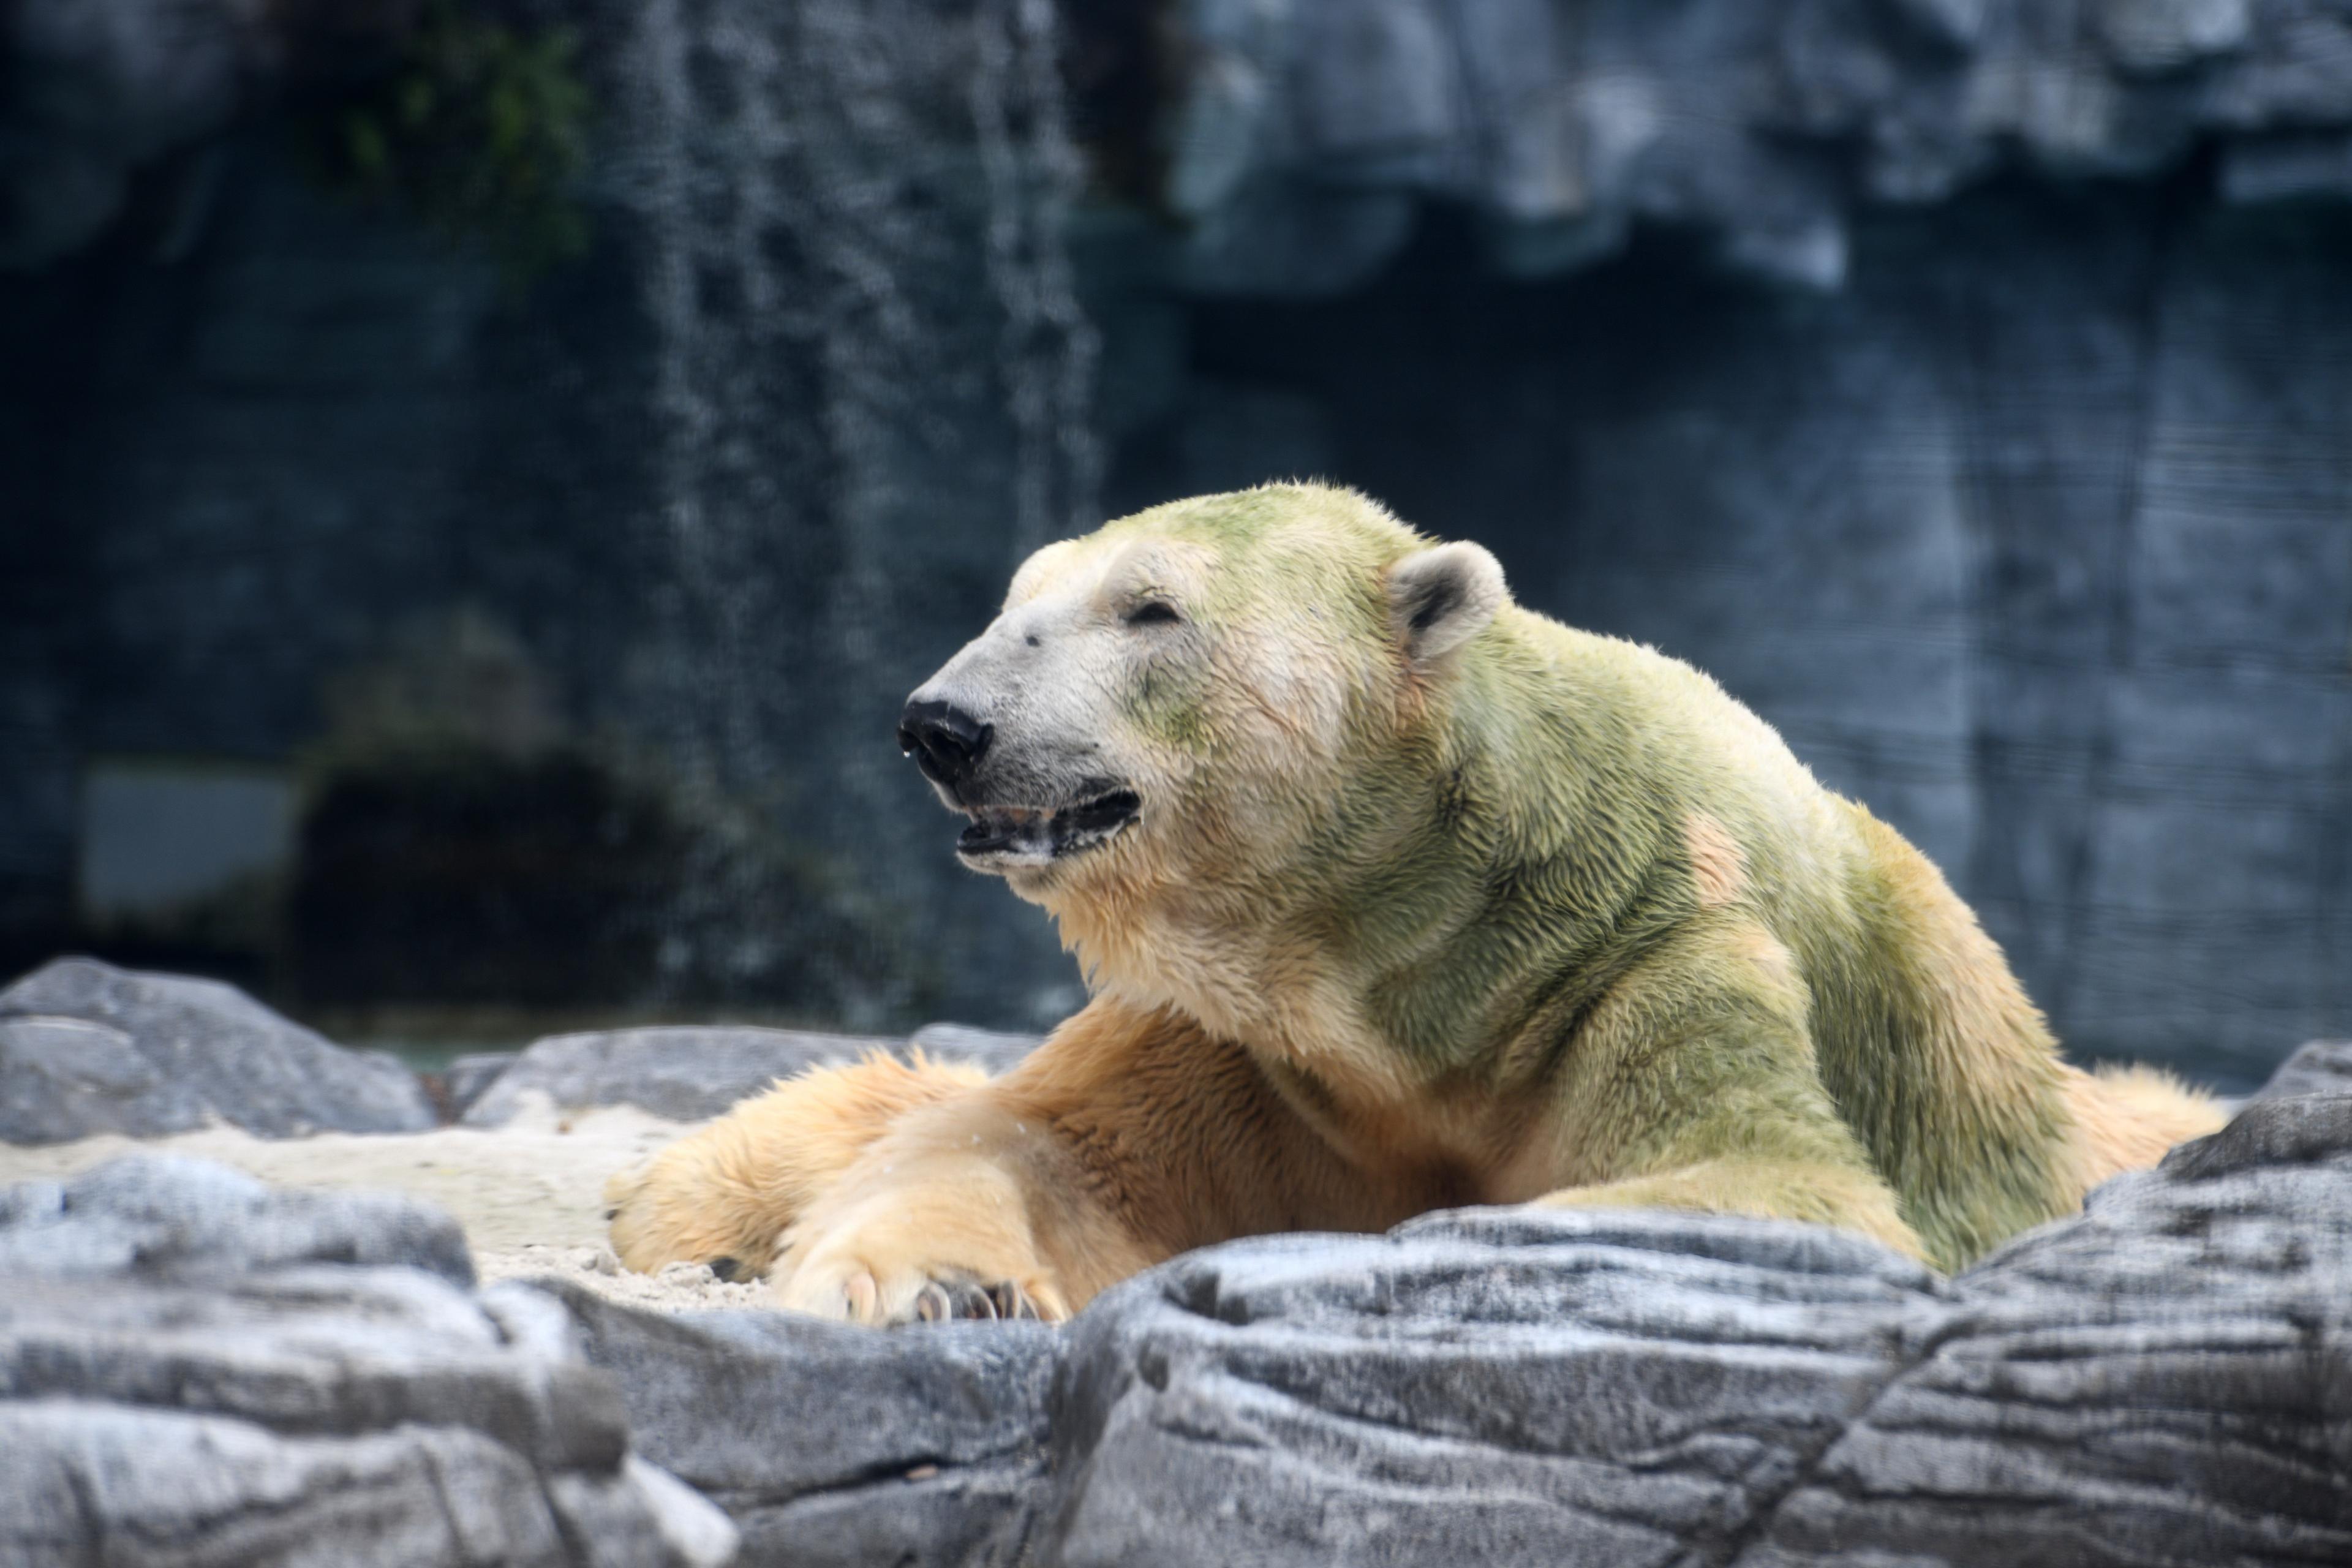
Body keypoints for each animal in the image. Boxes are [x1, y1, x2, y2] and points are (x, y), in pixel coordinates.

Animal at [606, 484, 2220, 1316]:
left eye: (1149, 608)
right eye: (1015, 602)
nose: (944, 724)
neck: (1428, 964)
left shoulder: (1663, 958)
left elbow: (1772, 1178)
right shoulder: (1244, 1035)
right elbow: (1035, 1148)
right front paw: (938, 1283)